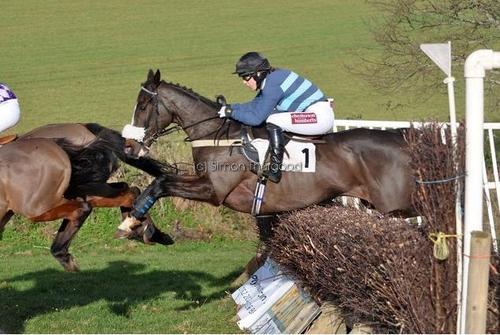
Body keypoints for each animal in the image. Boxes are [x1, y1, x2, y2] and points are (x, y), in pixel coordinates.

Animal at [116, 69, 414, 234]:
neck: (216, 137)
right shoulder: (203, 181)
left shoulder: (214, 191)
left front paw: (130, 222)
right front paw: (132, 221)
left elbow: (162, 184)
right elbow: (160, 180)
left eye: (143, 105)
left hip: (396, 206)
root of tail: (401, 138)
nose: (129, 146)